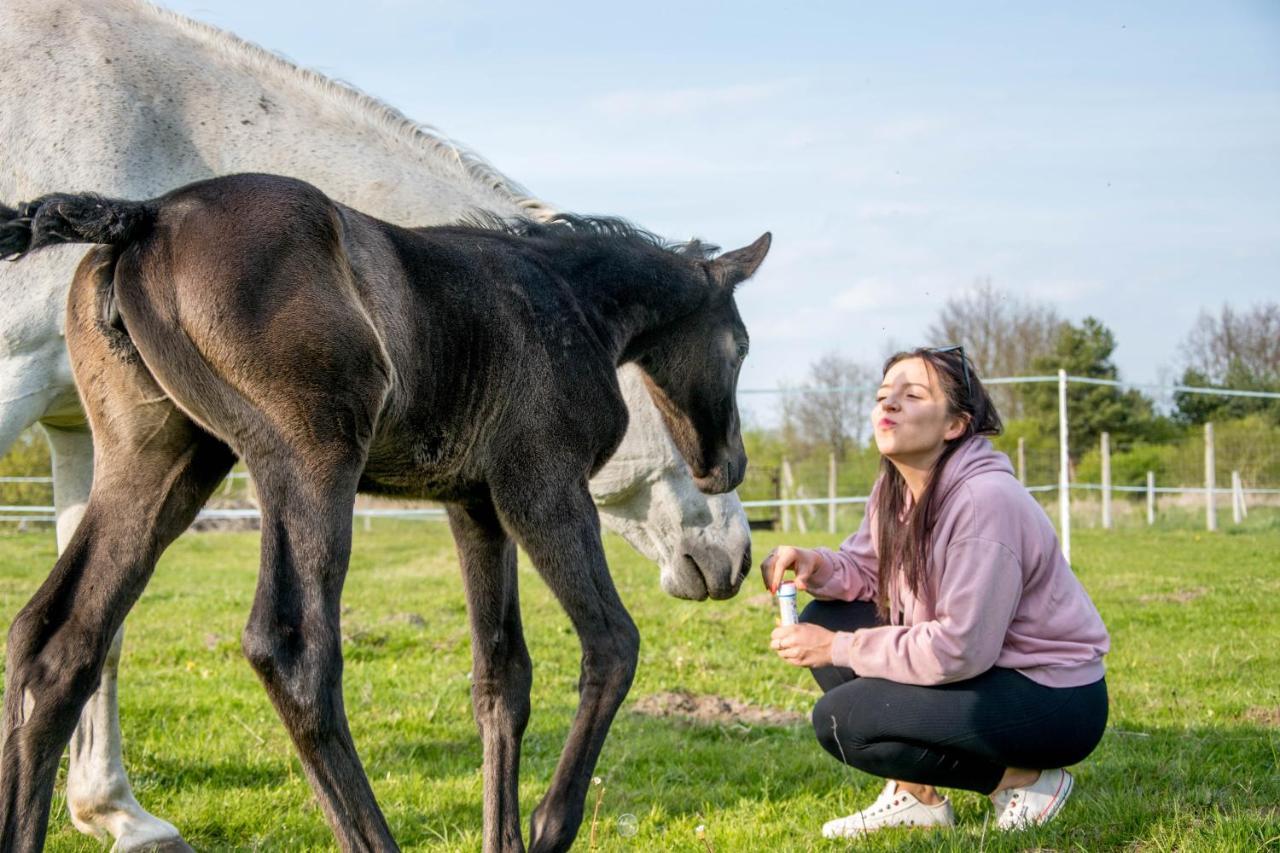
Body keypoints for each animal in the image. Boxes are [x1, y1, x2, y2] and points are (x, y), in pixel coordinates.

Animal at [0, 3, 752, 845]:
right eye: (742, 346)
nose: (733, 533)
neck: (558, 297)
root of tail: (143, 215)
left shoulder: (475, 505)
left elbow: (502, 678)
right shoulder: (543, 489)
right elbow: (612, 644)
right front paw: (550, 824)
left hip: (162, 457)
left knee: (59, 639)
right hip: (310, 460)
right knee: (292, 651)